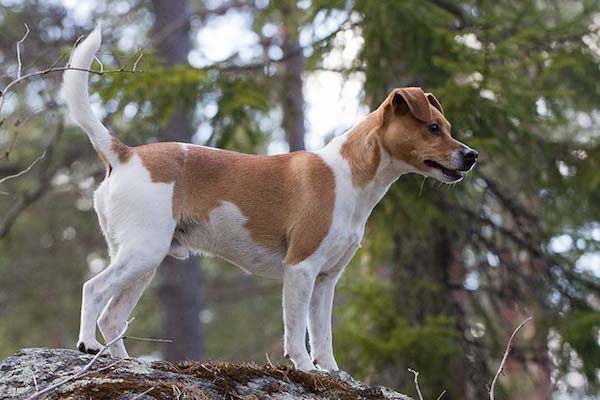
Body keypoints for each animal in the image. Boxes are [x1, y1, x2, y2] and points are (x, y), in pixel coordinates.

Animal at [64, 28, 478, 372]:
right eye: (433, 128)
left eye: (447, 127)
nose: (472, 155)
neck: (349, 177)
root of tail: (125, 154)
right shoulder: (300, 268)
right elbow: (296, 333)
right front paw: (306, 368)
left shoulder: (326, 280)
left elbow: (323, 335)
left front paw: (332, 373)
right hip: (142, 253)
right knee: (92, 290)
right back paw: (86, 344)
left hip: (143, 262)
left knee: (112, 317)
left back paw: (123, 362)